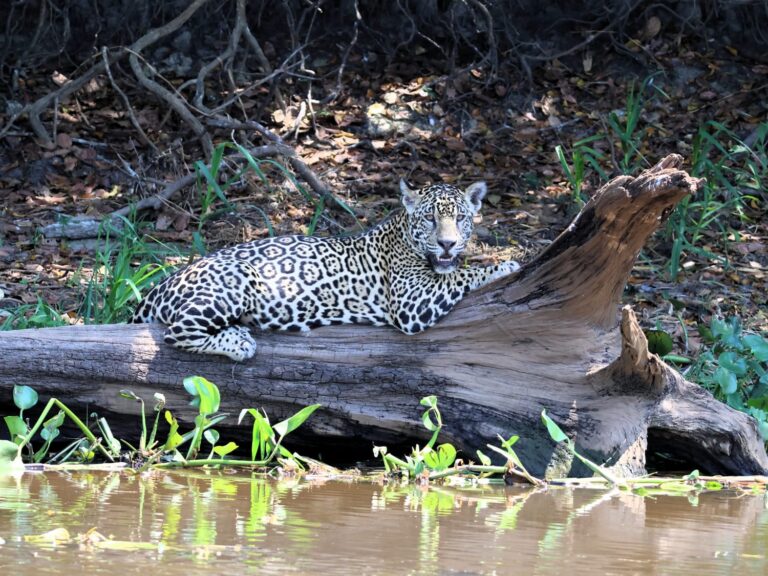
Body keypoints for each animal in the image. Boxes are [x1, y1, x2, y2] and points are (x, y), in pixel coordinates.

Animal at [131, 180, 520, 361]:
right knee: (176, 333)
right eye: (430, 219)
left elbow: (457, 270)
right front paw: (504, 265)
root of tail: (161, 284)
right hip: (236, 278)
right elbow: (462, 274)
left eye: (461, 218)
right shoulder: (412, 301)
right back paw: (238, 342)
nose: (447, 244)